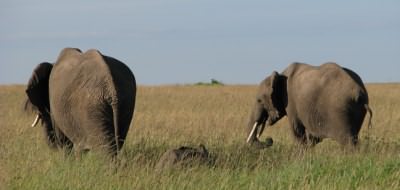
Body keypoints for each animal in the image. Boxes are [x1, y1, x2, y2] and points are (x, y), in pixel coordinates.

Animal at [245, 62, 374, 147]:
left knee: (348, 142)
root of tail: (360, 93)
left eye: (259, 100)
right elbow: (311, 137)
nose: (269, 139)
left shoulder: (291, 102)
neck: (280, 75)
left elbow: (297, 131)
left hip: (341, 110)